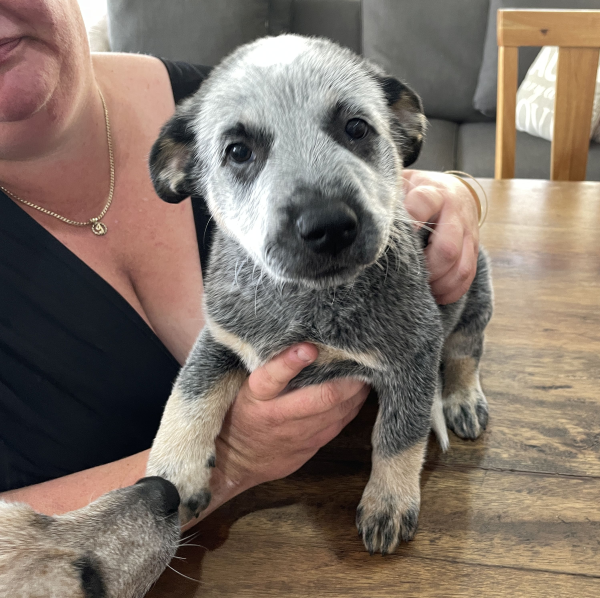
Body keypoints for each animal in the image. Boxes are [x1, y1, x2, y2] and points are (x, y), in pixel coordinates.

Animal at [145, 35, 492, 556]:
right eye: (238, 150)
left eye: (356, 127)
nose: (328, 225)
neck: (308, 303)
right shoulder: (224, 337)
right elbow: (190, 390)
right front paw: (174, 468)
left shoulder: (414, 353)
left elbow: (399, 435)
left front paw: (389, 501)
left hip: (477, 289)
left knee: (466, 350)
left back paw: (463, 398)